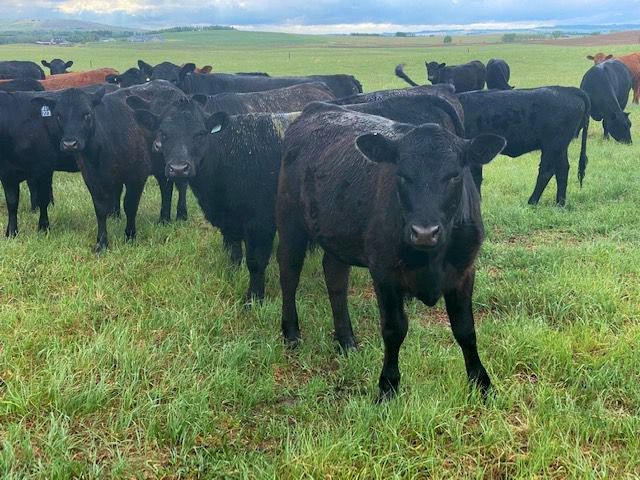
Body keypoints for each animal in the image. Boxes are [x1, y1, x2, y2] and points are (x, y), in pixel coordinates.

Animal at [32, 87, 152, 252]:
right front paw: (101, 243)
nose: (70, 144)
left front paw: (130, 236)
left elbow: (130, 205)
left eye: (87, 114)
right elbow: (100, 209)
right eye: (58, 115)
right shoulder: (92, 178)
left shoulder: (138, 175)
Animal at [130, 97, 298, 300]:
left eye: (200, 134)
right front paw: (234, 274)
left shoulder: (261, 223)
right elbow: (234, 252)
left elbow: (255, 262)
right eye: (163, 133)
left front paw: (254, 298)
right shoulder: (230, 221)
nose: (178, 168)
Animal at [276, 103, 505, 400]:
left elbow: (465, 328)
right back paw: (291, 333)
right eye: (402, 175)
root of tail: (316, 109)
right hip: (289, 220)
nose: (424, 232)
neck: (431, 258)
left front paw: (481, 384)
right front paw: (388, 386)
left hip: (336, 232)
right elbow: (394, 329)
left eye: (454, 175)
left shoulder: (465, 269)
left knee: (335, 278)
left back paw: (346, 340)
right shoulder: (384, 271)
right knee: (289, 274)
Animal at [457, 87, 591, 205]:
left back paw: (532, 202)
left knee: (546, 172)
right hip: (560, 147)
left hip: (553, 145)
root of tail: (568, 90)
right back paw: (560, 204)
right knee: (562, 170)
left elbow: (474, 178)